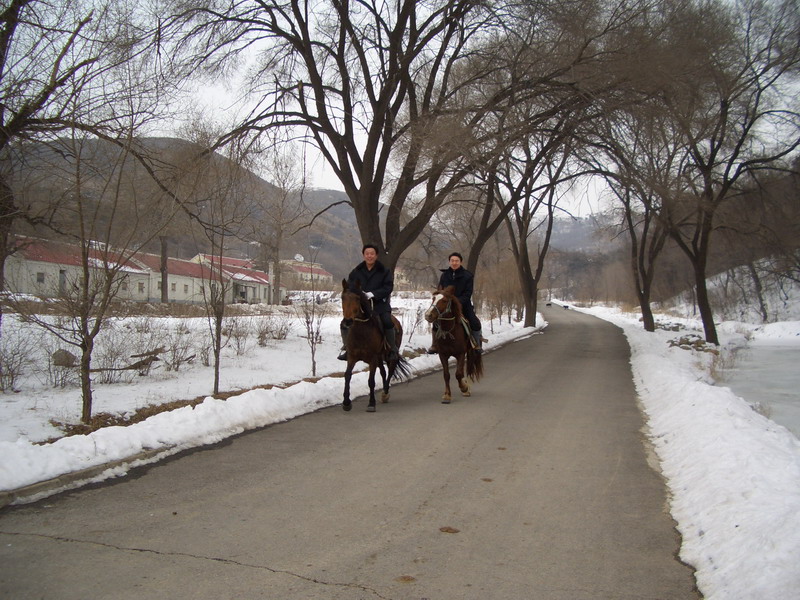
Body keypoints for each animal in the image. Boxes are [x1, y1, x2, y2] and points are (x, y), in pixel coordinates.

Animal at [340, 280, 410, 412]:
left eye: (357, 298)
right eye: (342, 297)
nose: (348, 321)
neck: (361, 332)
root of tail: (396, 321)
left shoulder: (372, 358)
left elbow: (371, 381)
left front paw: (371, 403)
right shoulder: (352, 357)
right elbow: (347, 376)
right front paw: (346, 402)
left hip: (388, 356)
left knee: (390, 370)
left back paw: (385, 393)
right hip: (379, 357)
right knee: (383, 372)